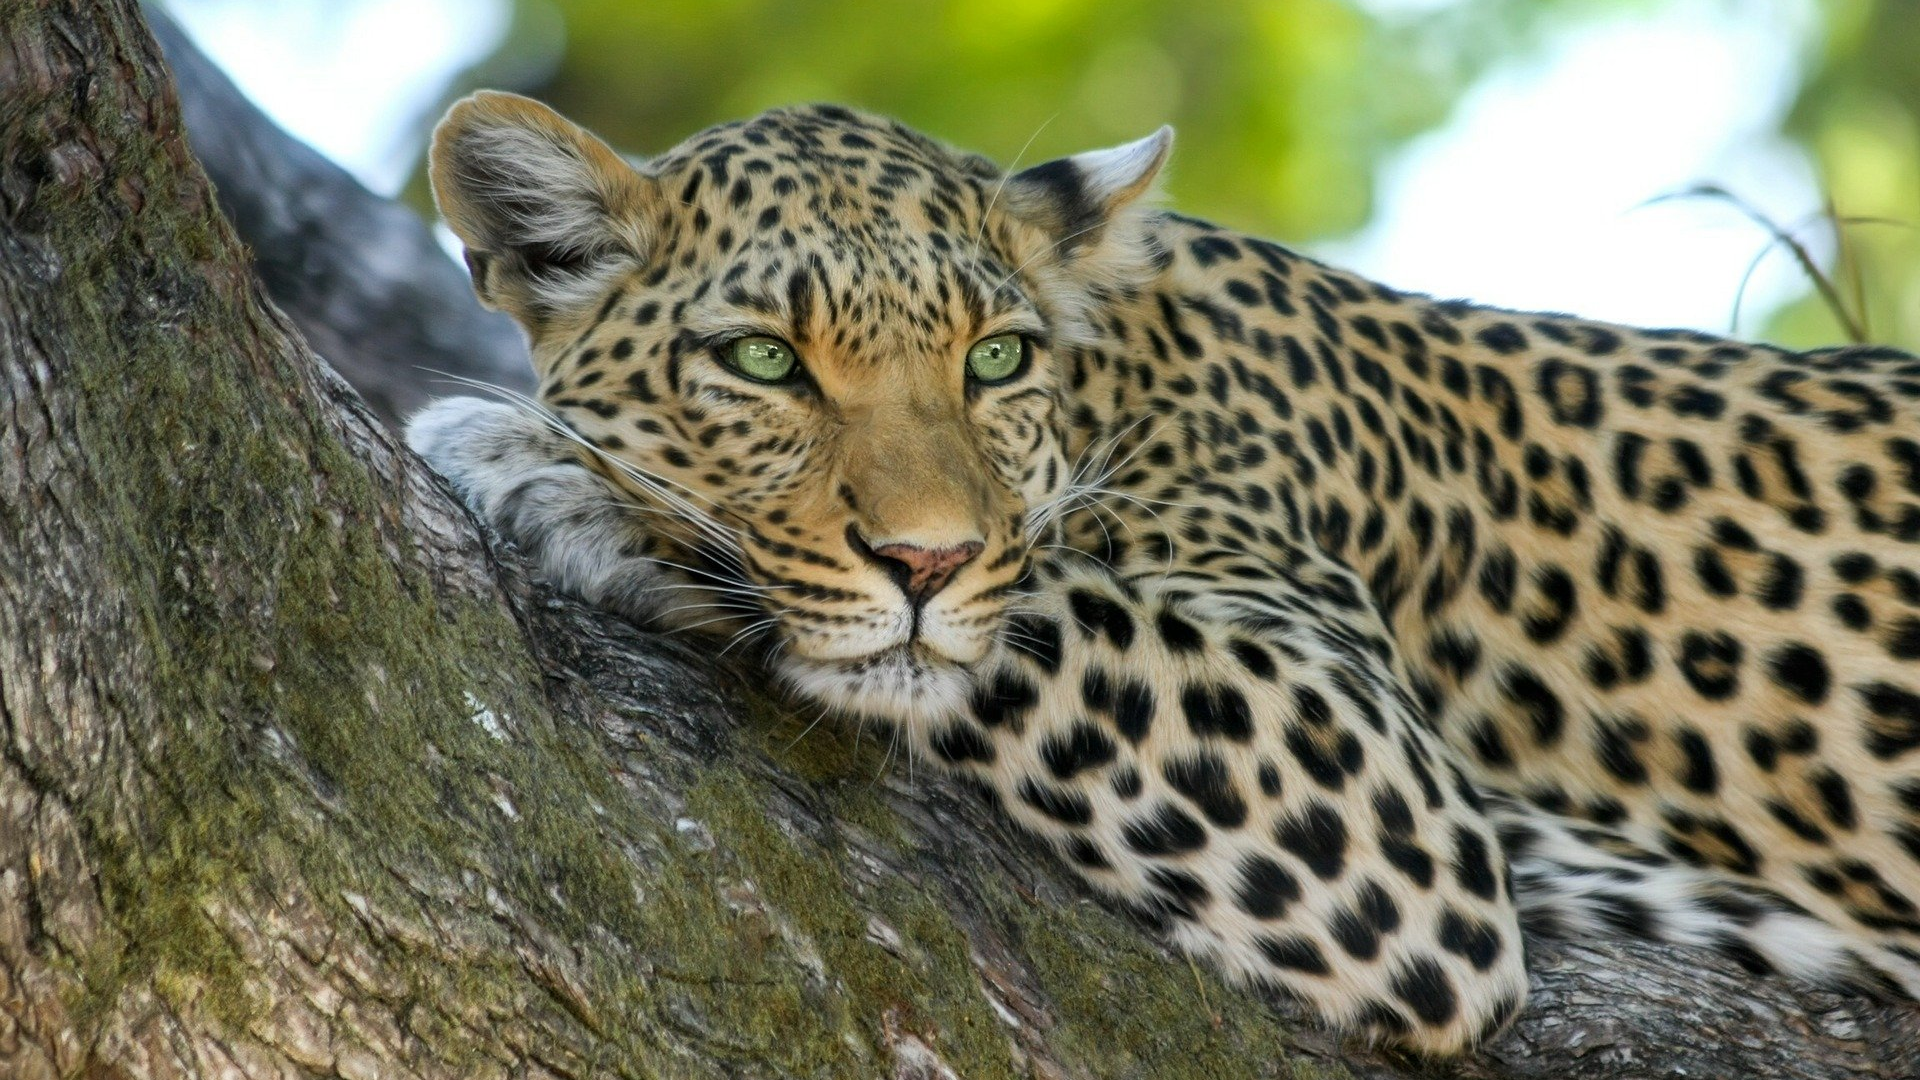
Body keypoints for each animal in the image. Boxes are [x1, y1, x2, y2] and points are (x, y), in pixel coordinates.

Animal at [406, 90, 1920, 1054]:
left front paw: (556, 470)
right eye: (764, 360)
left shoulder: (1380, 794)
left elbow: (1034, 612)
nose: (925, 557)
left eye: (994, 359)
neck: (1120, 375)